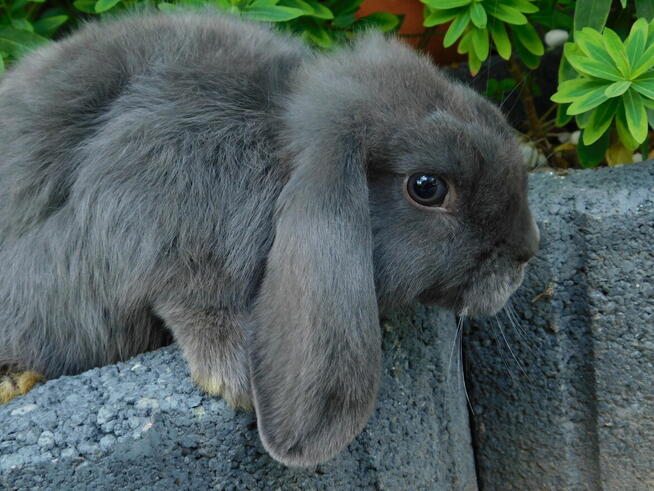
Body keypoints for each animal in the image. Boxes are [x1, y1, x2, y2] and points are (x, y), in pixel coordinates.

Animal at [0, 9, 540, 468]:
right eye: (427, 187)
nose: (527, 251)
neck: (274, 150)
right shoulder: (158, 226)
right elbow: (188, 296)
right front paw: (235, 376)